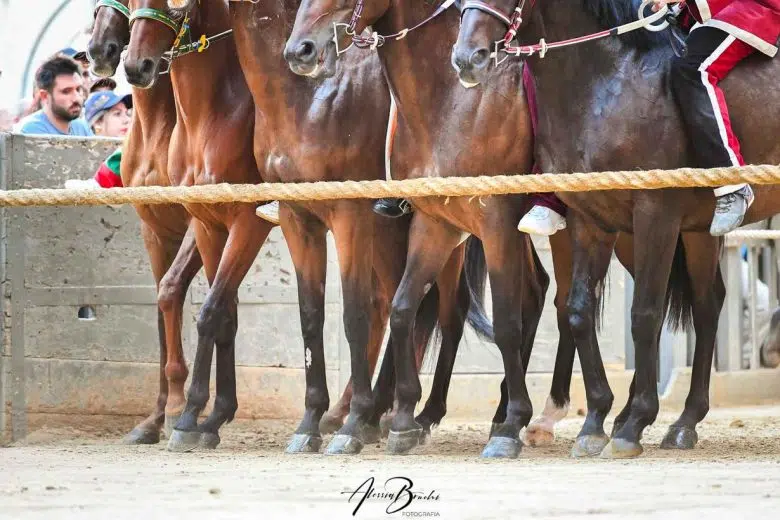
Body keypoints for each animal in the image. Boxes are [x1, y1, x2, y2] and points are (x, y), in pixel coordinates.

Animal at [88, 0, 203, 445]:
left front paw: (179, 409)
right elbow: (160, 309)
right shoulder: (155, 232)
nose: (99, 50)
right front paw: (154, 418)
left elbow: (172, 292)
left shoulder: (199, 223)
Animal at [155, 0, 491, 454]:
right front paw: (310, 422)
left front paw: (353, 424)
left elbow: (353, 314)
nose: (125, 61)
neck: (307, 101)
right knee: (408, 304)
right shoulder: (295, 220)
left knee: (458, 310)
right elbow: (308, 316)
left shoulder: (346, 216)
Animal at [453, 0, 780, 458]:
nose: (468, 58)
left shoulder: (656, 213)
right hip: (697, 233)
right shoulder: (591, 219)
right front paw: (595, 422)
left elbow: (644, 314)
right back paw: (685, 422)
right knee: (708, 304)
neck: (607, 79)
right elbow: (577, 310)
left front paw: (633, 422)